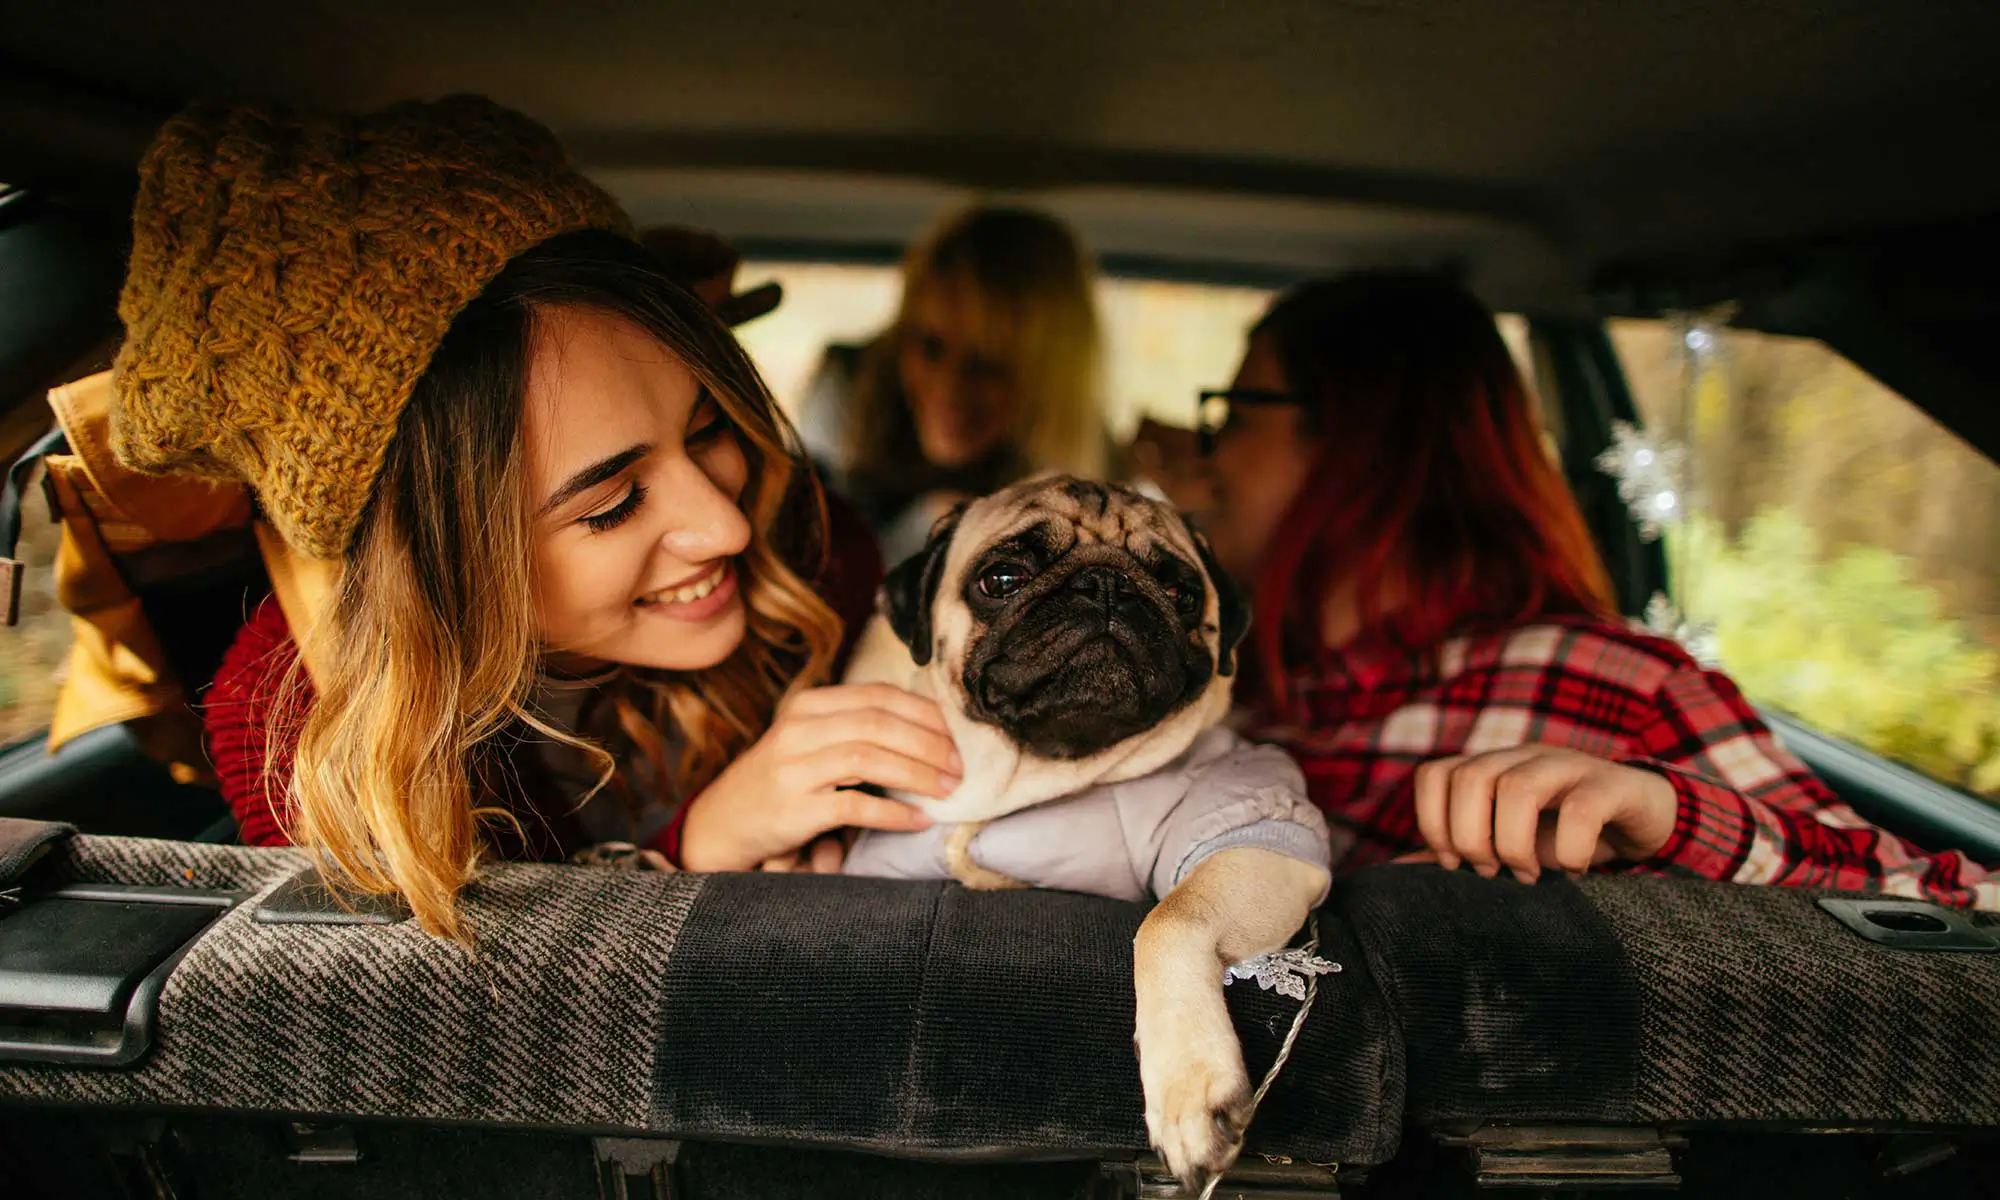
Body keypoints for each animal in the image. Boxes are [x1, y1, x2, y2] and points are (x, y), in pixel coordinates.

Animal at [836, 474, 1336, 1184]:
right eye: (1002, 578)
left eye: (1182, 594)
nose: (1105, 584)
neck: (1041, 767)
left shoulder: (1261, 838)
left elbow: (1168, 919)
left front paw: (1190, 1082)